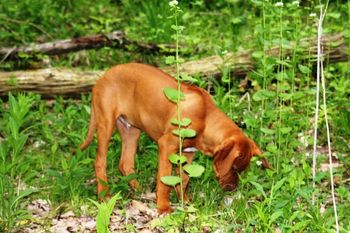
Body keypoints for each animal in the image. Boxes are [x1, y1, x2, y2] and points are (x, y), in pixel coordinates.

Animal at [80, 62, 270, 214]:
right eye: (234, 168)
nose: (232, 189)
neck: (205, 116)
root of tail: (104, 75)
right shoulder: (167, 146)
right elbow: (165, 181)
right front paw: (164, 208)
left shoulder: (188, 152)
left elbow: (183, 179)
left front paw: (185, 201)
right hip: (106, 124)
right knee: (100, 162)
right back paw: (104, 196)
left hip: (131, 129)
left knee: (125, 163)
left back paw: (139, 191)